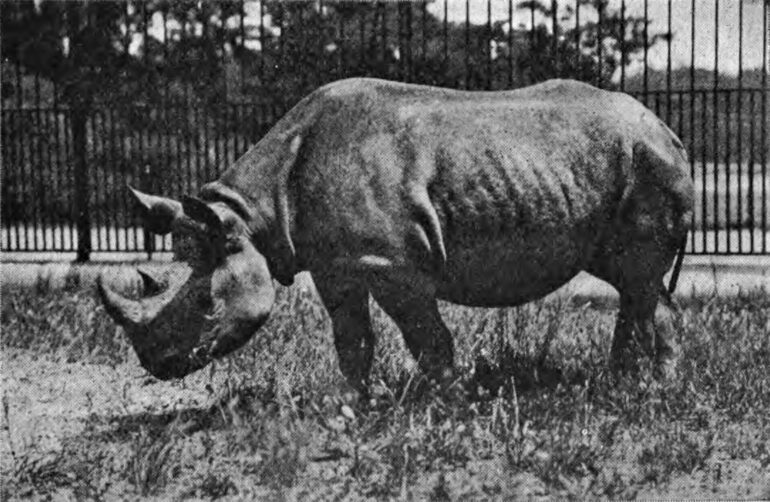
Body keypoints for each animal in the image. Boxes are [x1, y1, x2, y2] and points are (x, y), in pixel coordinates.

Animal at [98, 78, 694, 387]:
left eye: (205, 304)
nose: (157, 366)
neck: (249, 216)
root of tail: (670, 129)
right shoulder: (337, 264)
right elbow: (351, 337)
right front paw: (351, 404)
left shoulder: (391, 264)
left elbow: (426, 337)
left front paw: (443, 402)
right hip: (611, 164)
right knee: (629, 280)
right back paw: (630, 381)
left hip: (646, 161)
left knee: (639, 278)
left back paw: (645, 391)